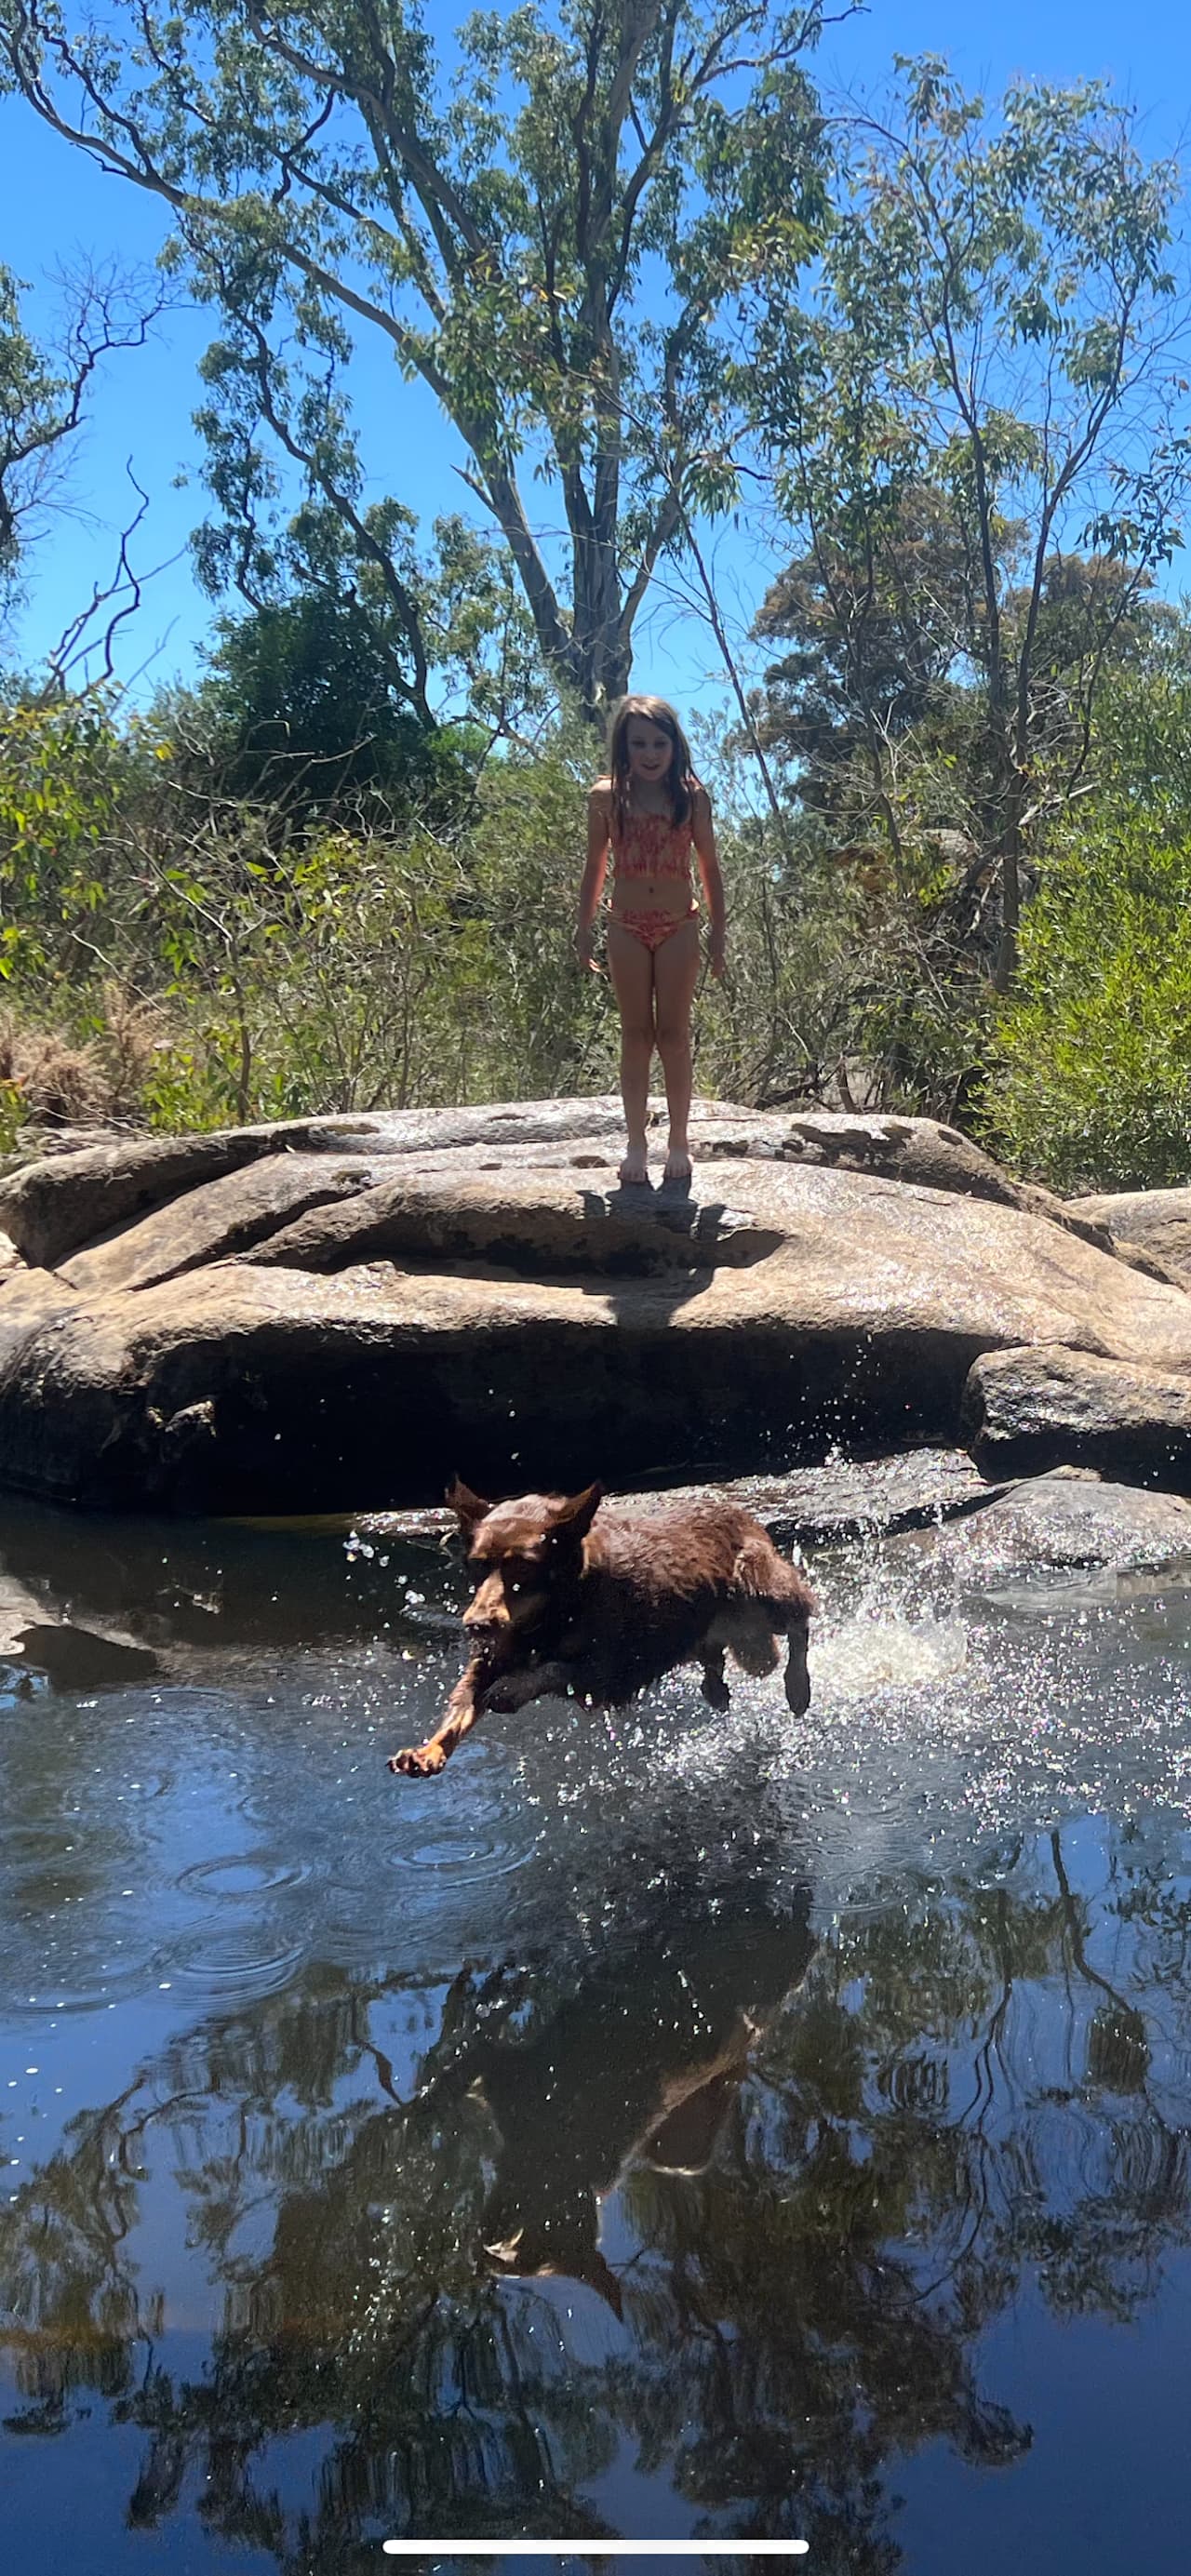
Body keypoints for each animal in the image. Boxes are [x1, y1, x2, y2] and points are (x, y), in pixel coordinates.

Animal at [386, 1483, 814, 1782]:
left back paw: (798, 1686)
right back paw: (716, 1688)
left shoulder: (614, 1671)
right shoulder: (493, 1656)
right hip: (703, 1624)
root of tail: (741, 1513)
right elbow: (463, 1705)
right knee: (713, 1652)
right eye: (476, 1565)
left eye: (523, 1569)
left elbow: (558, 1668)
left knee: (802, 1621)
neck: (558, 1611)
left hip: (760, 1588)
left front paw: (512, 1688)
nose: (475, 1624)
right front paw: (429, 1752)